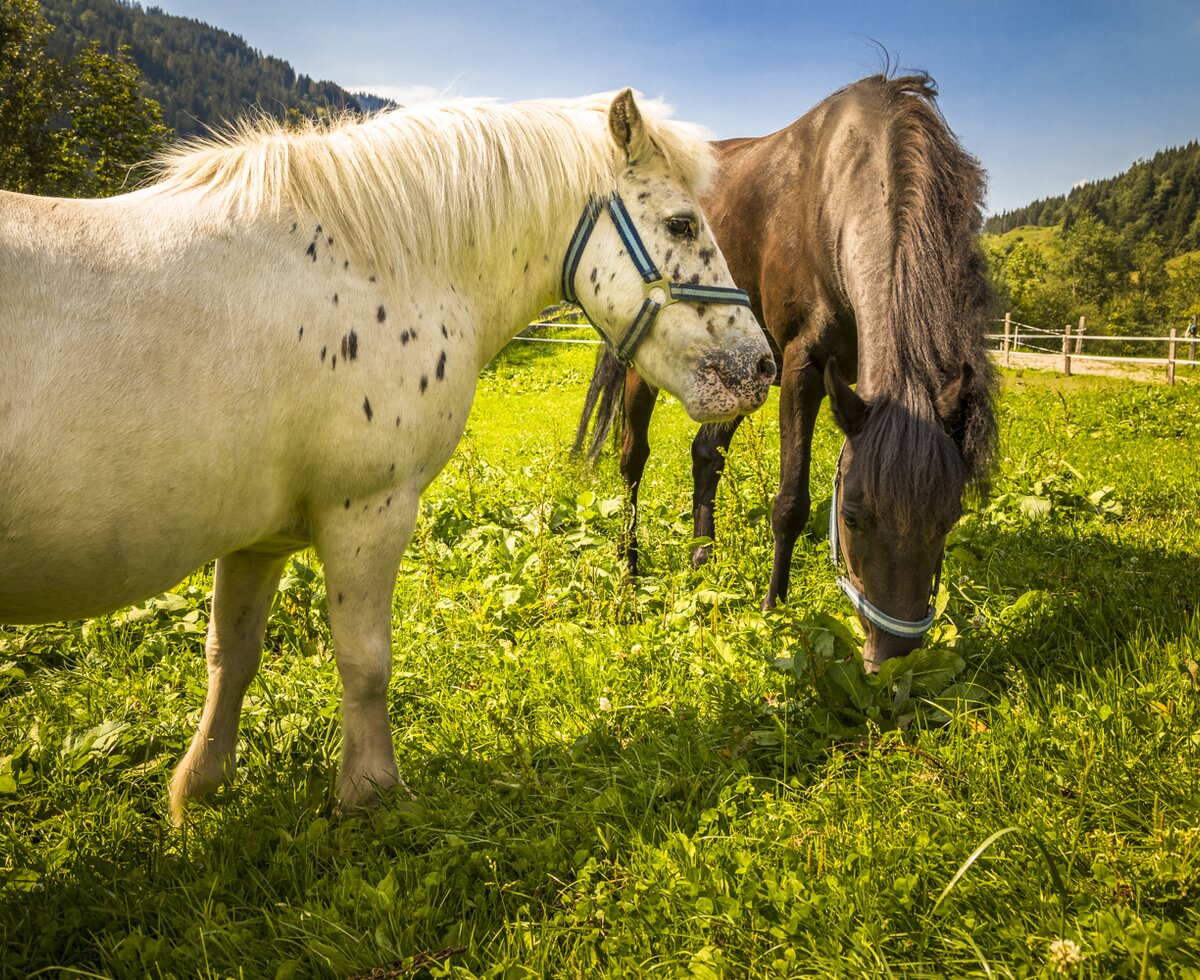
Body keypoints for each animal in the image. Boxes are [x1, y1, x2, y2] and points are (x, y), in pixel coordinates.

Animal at [0, 89, 772, 820]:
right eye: (682, 223)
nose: (760, 366)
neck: (374, 266)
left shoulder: (258, 538)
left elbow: (231, 656)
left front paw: (200, 790)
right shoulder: (369, 510)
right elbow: (365, 661)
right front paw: (370, 791)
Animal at [571, 74, 993, 666]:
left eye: (949, 518)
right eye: (852, 516)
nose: (891, 658)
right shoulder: (802, 367)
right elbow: (791, 502)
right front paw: (774, 608)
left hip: (740, 370)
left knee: (706, 453)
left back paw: (702, 557)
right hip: (651, 370)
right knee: (633, 458)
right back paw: (631, 567)